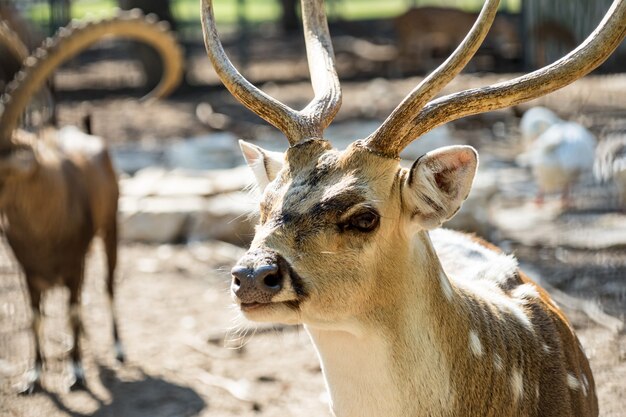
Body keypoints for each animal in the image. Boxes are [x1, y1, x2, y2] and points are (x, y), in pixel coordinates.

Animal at [0, 10, 183, 394]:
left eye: (4, 167)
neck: (42, 226)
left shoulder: (74, 264)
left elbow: (72, 309)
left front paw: (76, 373)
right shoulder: (28, 271)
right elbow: (35, 317)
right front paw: (33, 376)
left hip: (109, 230)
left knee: (108, 286)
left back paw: (117, 349)